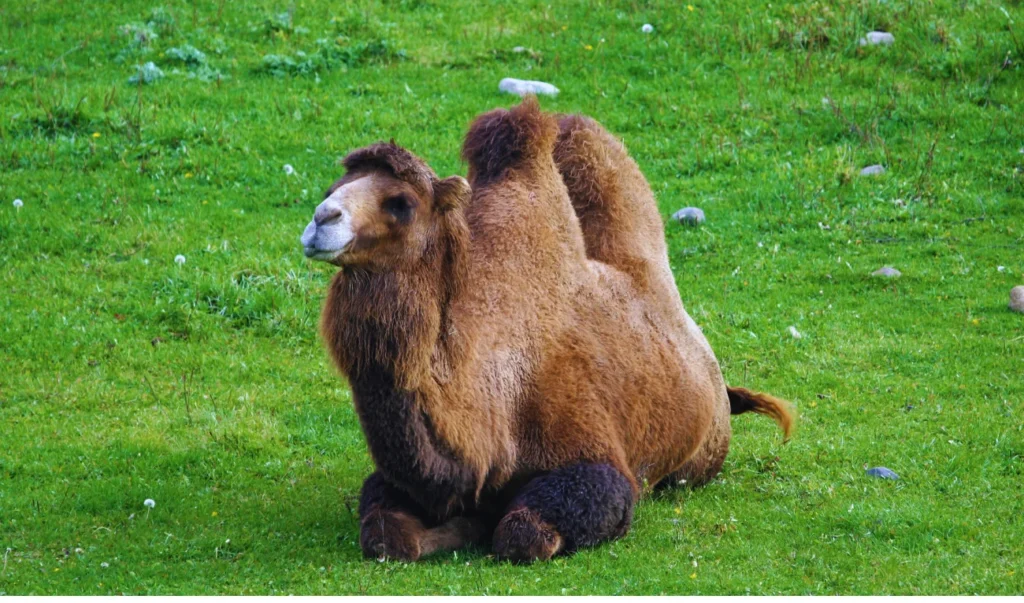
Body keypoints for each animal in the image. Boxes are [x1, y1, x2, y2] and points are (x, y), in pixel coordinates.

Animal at [299, 96, 794, 561]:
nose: (321, 219)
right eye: (331, 188)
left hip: (702, 457)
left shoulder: (592, 456)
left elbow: (524, 533)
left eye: (401, 203)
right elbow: (386, 533)